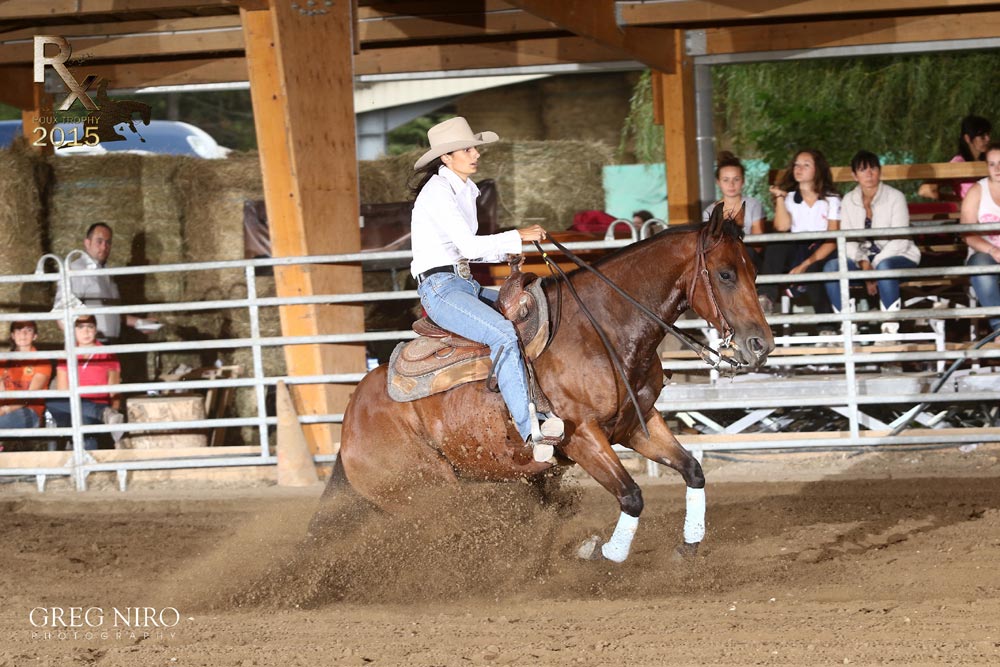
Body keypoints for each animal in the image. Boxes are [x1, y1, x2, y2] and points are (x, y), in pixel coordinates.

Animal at [316, 205, 776, 564]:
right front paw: (600, 553)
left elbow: (693, 471)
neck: (600, 330)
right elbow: (631, 495)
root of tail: (350, 423)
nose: (761, 344)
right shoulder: (582, 437)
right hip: (428, 491)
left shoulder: (636, 423)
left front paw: (688, 546)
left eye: (754, 269)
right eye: (725, 274)